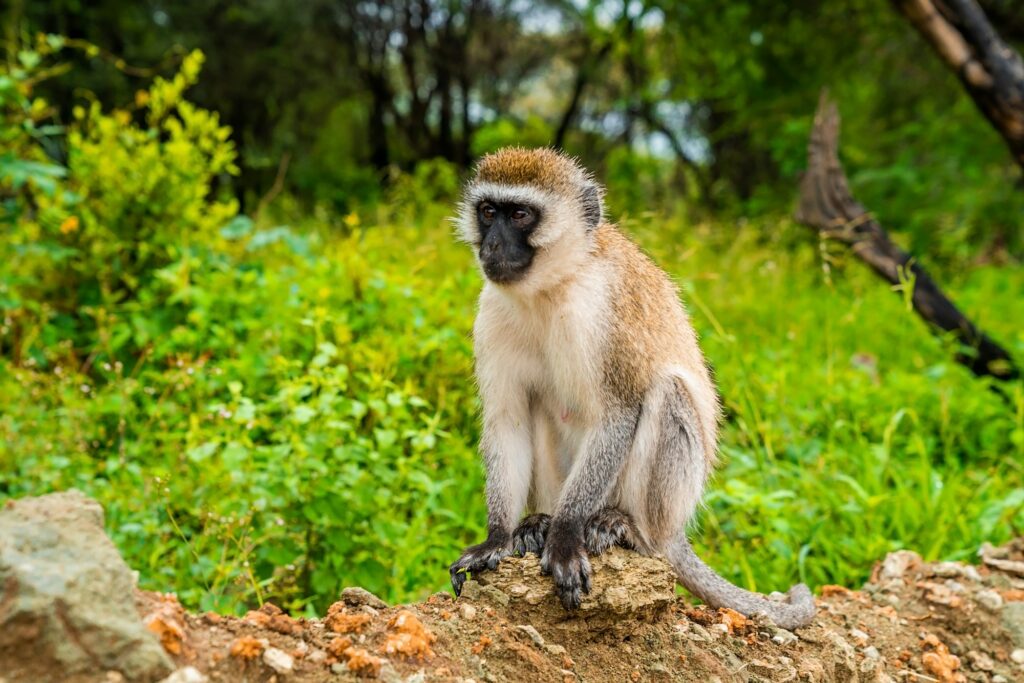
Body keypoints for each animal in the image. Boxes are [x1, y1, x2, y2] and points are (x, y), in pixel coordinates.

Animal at [450, 148, 815, 630]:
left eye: (521, 214)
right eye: (489, 212)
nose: (490, 247)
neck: (552, 287)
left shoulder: (603, 311)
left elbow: (618, 413)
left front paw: (565, 536)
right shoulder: (491, 311)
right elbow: (508, 422)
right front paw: (497, 538)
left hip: (666, 504)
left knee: (667, 392)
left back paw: (624, 527)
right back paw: (538, 522)